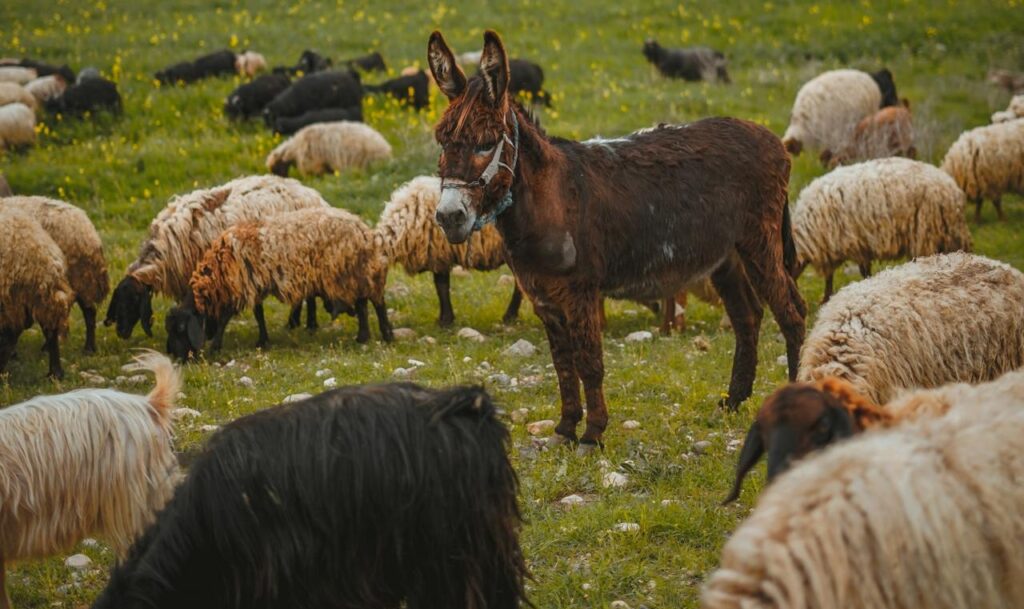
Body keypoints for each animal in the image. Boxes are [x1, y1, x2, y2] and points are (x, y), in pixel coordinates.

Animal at [104, 175, 330, 340]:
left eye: (133, 300)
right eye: (117, 300)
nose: (121, 332)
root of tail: (313, 195)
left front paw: (210, 333)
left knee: (309, 291)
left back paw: (310, 324)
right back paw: (294, 323)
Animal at [165, 207, 392, 359]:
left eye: (180, 329)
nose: (174, 357)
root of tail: (363, 230)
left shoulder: (241, 286)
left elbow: (225, 318)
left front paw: (215, 346)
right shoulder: (254, 285)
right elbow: (259, 314)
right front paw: (262, 340)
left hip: (353, 272)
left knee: (376, 301)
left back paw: (385, 335)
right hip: (355, 274)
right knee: (363, 303)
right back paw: (364, 336)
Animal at [375, 176, 522, 327]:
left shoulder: (439, 255)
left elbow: (442, 287)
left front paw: (445, 320)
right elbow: (442, 286)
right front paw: (445, 319)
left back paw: (509, 316)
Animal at [791, 157, 972, 302]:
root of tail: (952, 188)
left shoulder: (852, 245)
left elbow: (861, 271)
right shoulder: (838, 248)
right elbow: (832, 276)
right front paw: (826, 297)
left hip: (927, 232)